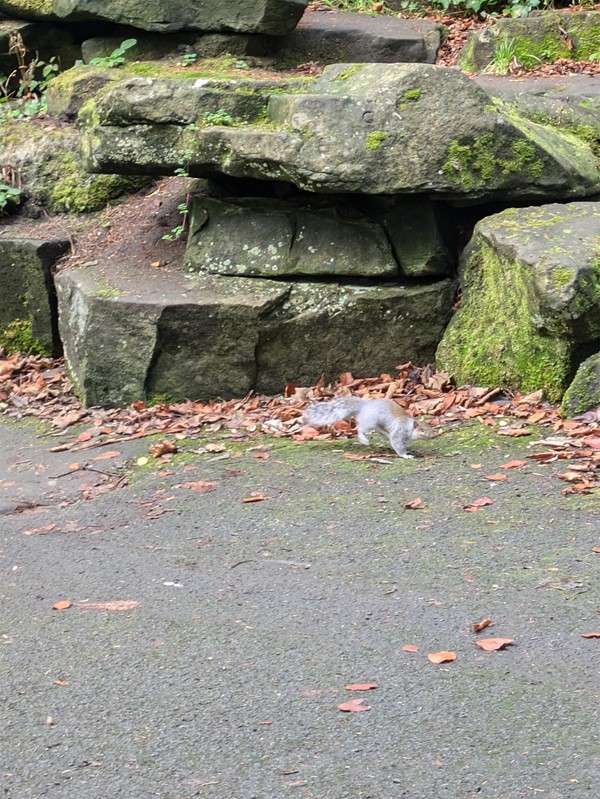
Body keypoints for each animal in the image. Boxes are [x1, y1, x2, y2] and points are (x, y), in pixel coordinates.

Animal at [302, 396, 438, 460]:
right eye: (422, 430)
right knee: (360, 428)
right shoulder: (399, 431)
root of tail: (365, 405)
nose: (433, 436)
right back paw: (363, 439)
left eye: (430, 427)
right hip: (370, 422)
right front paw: (405, 455)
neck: (409, 426)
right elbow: (397, 444)